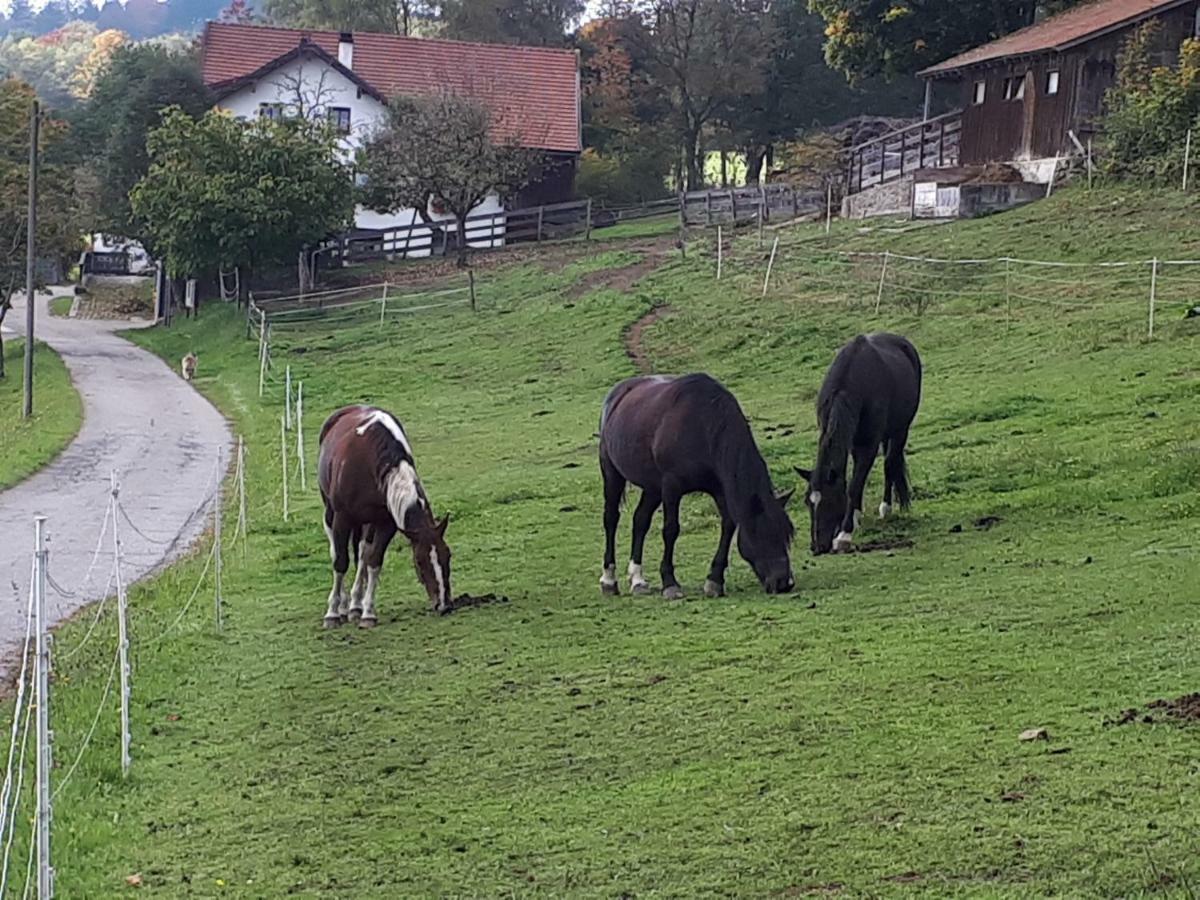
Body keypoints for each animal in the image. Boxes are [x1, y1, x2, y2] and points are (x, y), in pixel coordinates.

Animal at [316, 405, 451, 624]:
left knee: (362, 553)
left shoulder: (386, 523)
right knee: (336, 552)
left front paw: (368, 613)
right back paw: (343, 606)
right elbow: (340, 562)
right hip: (330, 512)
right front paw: (333, 613)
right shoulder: (342, 517)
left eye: (448, 555)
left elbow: (373, 561)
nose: (444, 604)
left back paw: (355, 605)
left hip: (367, 523)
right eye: (419, 561)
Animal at [595, 374, 792, 600]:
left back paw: (637, 580)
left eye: (786, 536)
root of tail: (618, 393)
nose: (784, 582)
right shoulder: (671, 486)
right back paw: (609, 580)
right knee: (611, 519)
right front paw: (670, 583)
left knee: (640, 521)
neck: (703, 425)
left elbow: (728, 526)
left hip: (652, 487)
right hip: (612, 473)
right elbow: (671, 530)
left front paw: (714, 581)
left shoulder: (719, 488)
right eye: (764, 534)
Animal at [796, 333, 926, 554]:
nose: (817, 547)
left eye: (830, 501)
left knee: (890, 463)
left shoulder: (868, 445)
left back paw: (886, 507)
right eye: (807, 502)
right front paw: (854, 517)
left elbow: (854, 485)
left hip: (900, 429)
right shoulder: (850, 441)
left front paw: (844, 534)